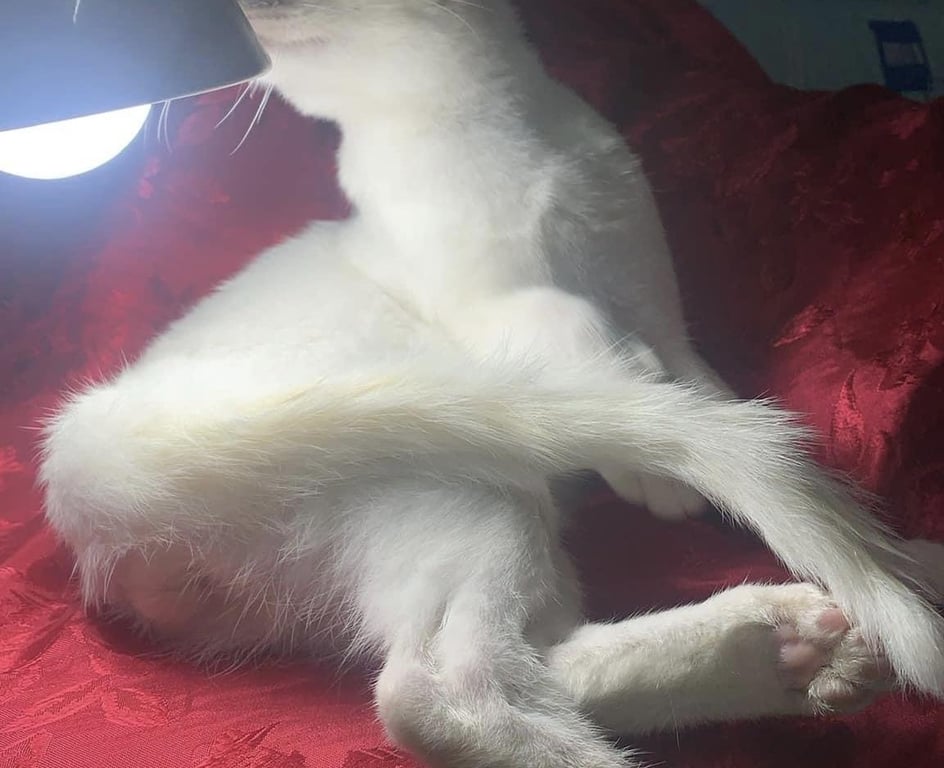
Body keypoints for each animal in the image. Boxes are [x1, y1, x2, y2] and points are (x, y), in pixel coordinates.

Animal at [39, 1, 944, 766]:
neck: (493, 132)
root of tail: (84, 458)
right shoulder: (499, 308)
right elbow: (601, 346)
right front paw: (657, 477)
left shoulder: (661, 314)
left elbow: (730, 418)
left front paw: (878, 547)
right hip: (471, 491)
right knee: (439, 692)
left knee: (547, 662)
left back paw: (801, 644)